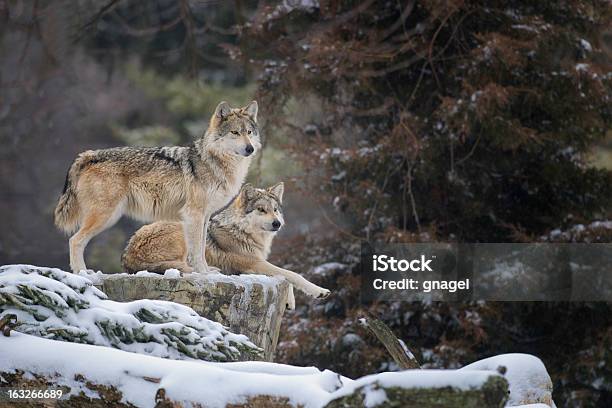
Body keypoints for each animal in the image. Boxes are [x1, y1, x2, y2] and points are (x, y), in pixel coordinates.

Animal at [54, 101, 260, 274]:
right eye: (235, 133)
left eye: (249, 132)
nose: (250, 149)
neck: (215, 162)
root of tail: (89, 155)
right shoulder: (194, 214)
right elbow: (196, 251)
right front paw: (203, 273)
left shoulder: (205, 216)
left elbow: (201, 248)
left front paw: (207, 271)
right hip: (106, 216)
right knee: (75, 240)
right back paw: (82, 272)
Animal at [119, 182, 330, 306]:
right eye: (261, 210)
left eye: (275, 210)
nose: (277, 223)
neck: (243, 231)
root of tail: (128, 254)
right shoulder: (254, 263)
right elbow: (292, 274)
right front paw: (319, 291)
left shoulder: (257, 264)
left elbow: (285, 275)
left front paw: (290, 301)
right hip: (183, 230)